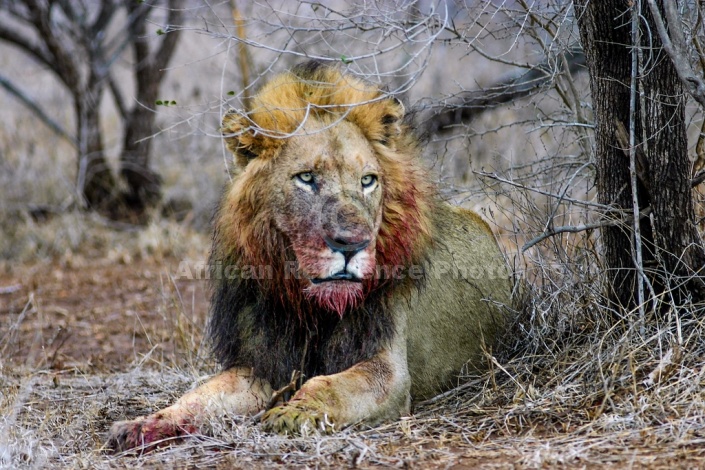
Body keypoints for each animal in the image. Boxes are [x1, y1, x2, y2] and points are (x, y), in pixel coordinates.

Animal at [107, 60, 508, 450]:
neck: (309, 308)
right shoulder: (261, 365)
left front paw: (292, 414)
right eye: (306, 178)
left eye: (368, 181)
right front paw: (141, 426)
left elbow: (328, 384)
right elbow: (200, 396)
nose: (352, 244)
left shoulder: (389, 369)